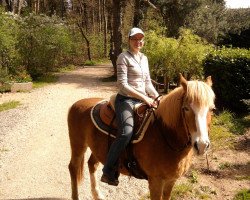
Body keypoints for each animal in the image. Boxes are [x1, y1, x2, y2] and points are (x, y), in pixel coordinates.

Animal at [67, 74, 216, 200]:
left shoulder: (171, 181)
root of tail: (77, 104)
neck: (165, 135)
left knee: (92, 164)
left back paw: (97, 195)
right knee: (73, 167)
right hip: (78, 145)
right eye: (186, 108)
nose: (202, 145)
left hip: (97, 149)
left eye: (212, 109)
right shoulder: (155, 181)